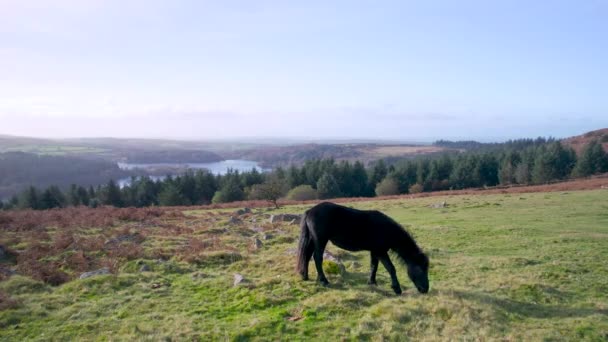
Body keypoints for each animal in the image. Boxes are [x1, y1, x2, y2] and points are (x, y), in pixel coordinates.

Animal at [296, 202, 430, 296]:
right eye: (421, 269)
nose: (425, 289)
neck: (386, 230)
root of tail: (310, 211)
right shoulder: (381, 251)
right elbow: (391, 268)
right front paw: (396, 288)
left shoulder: (375, 251)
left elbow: (374, 266)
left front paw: (372, 282)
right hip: (320, 240)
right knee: (317, 258)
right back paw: (323, 281)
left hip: (312, 240)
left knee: (307, 256)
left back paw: (305, 276)